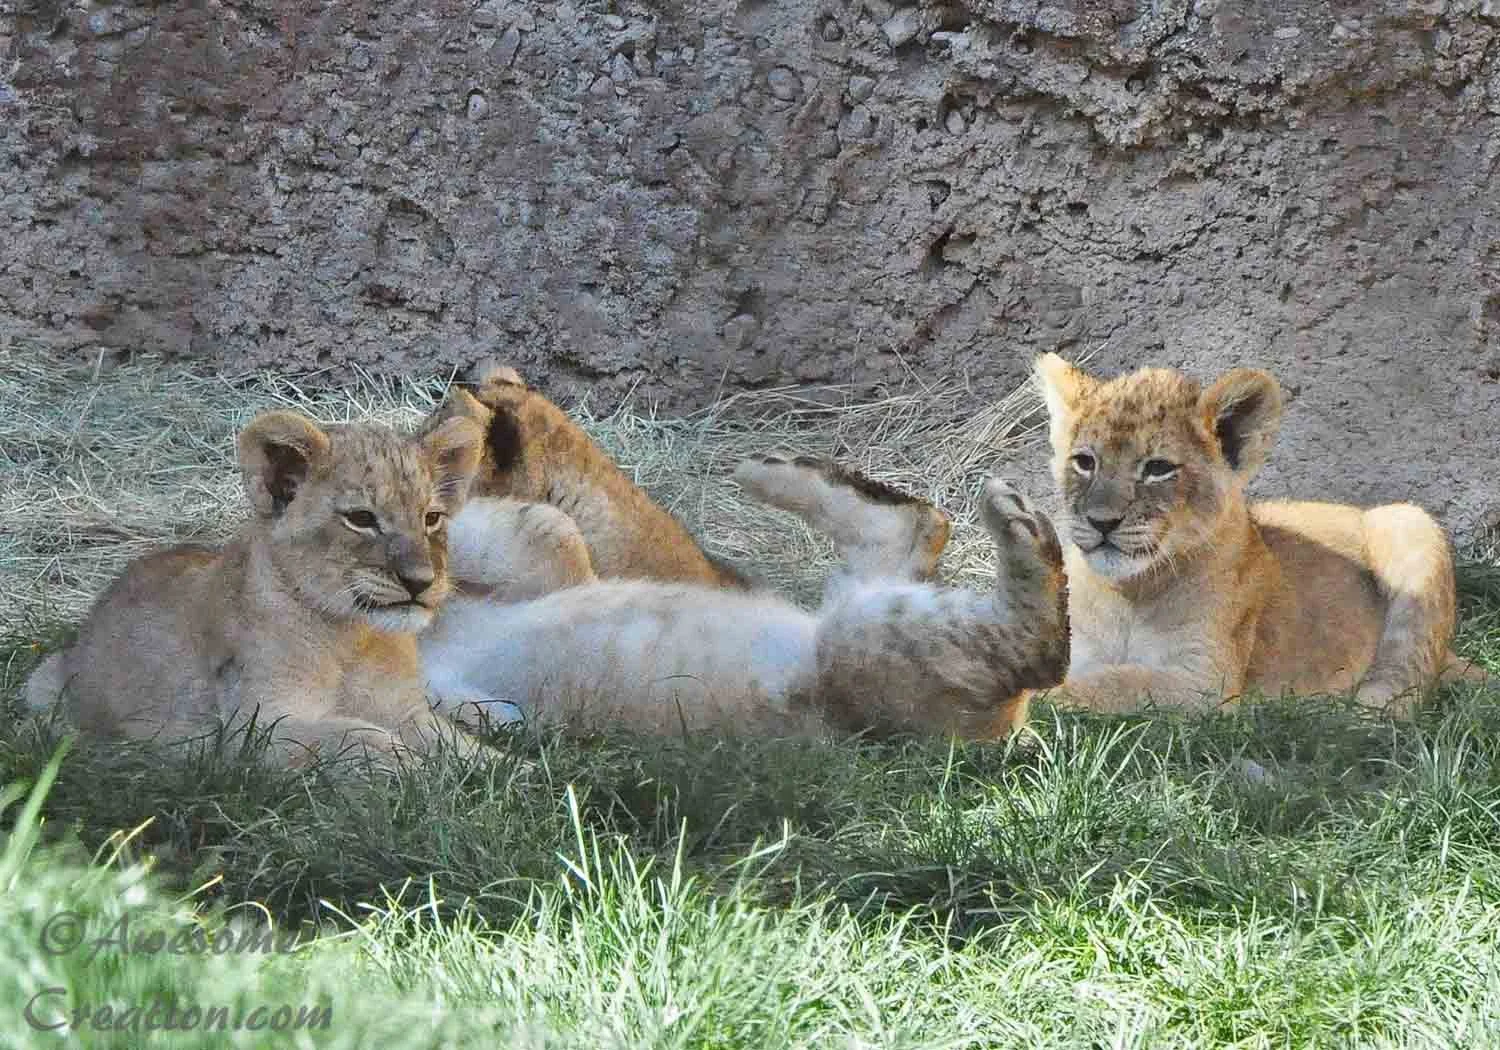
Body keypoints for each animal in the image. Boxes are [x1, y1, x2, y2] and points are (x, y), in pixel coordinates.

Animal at [25, 410, 486, 768]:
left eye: (431, 518)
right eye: (361, 518)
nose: (420, 581)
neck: (354, 636)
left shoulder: (409, 710)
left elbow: (463, 746)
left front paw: (496, 778)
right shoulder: (251, 730)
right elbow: (353, 735)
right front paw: (414, 768)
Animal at [1033, 353, 1475, 716]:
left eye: (1158, 468)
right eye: (1085, 462)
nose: (1100, 521)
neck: (1127, 594)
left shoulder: (1206, 684)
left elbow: (1108, 685)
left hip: (1407, 522)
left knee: (1403, 684)